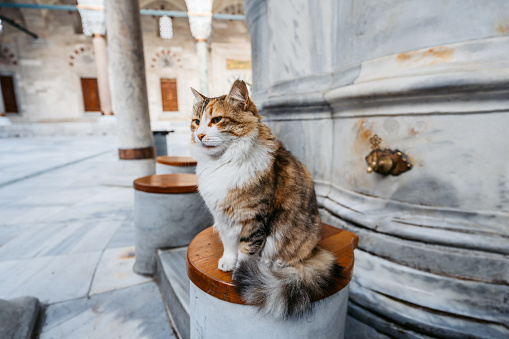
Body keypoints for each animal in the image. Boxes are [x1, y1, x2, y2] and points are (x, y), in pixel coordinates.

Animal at [189, 81, 340, 320]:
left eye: (217, 120)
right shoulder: (224, 217)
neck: (222, 163)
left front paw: (241, 274)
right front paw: (228, 262)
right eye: (196, 122)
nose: (200, 135)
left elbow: (246, 251)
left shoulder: (253, 218)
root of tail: (318, 248)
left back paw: (271, 263)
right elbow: (230, 244)